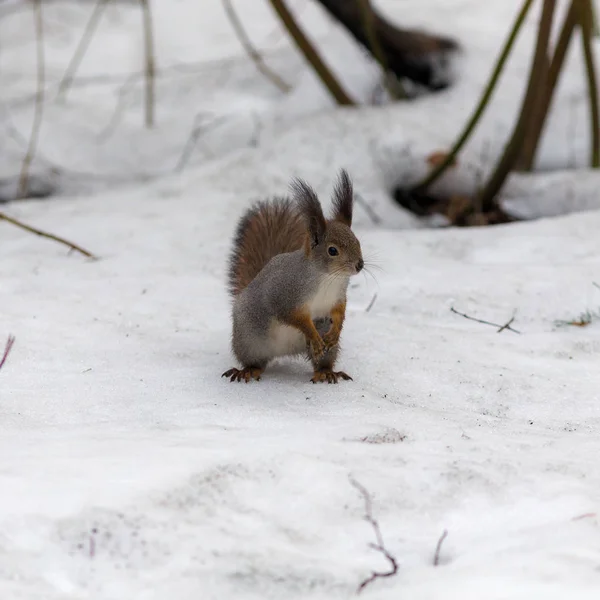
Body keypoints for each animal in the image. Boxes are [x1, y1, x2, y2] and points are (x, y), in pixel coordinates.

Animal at [221, 169, 366, 384]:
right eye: (332, 250)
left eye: (358, 242)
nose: (359, 265)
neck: (327, 278)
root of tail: (284, 351)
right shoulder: (286, 295)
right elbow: (296, 318)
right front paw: (313, 337)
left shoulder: (338, 296)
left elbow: (340, 312)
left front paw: (336, 331)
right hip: (249, 338)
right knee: (256, 362)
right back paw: (248, 370)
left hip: (323, 332)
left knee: (323, 359)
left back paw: (326, 372)